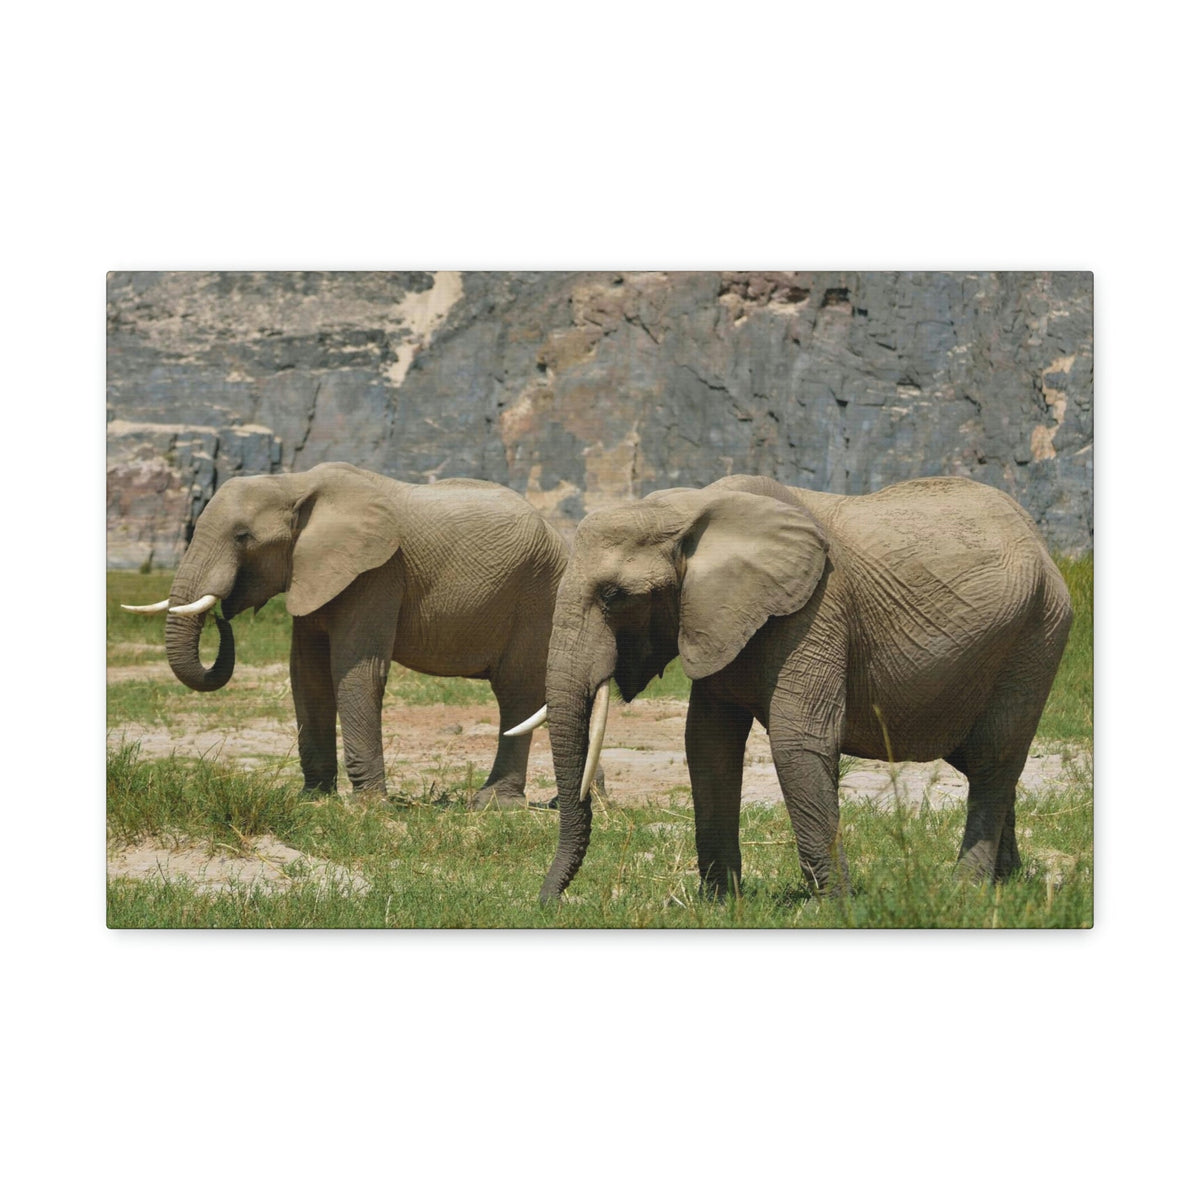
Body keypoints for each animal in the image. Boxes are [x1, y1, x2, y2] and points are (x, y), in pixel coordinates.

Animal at [123, 462, 568, 807]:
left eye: (242, 537)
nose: (223, 616)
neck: (294, 483)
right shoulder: (313, 572)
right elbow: (308, 676)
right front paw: (313, 799)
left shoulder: (378, 571)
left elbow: (356, 672)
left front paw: (368, 806)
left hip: (539, 594)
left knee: (515, 692)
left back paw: (494, 805)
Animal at [508, 474, 1073, 902]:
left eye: (613, 596)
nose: (547, 903)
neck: (690, 511)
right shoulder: (717, 617)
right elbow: (708, 743)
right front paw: (721, 903)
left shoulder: (816, 608)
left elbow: (797, 740)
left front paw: (838, 906)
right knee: (987, 764)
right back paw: (1006, 884)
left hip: (1038, 634)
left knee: (994, 758)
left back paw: (965, 891)